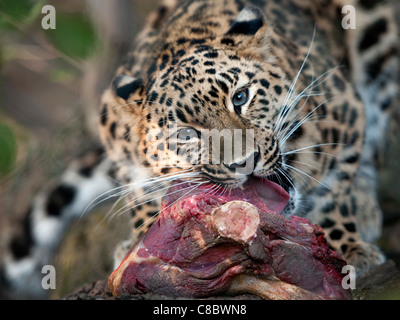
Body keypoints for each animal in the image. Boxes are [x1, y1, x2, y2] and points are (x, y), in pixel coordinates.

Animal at [0, 0, 398, 300]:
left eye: (241, 97)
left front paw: (349, 247)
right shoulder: (114, 129)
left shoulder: (344, 108)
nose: (245, 162)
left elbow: (336, 187)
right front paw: (148, 243)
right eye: (188, 134)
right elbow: (140, 193)